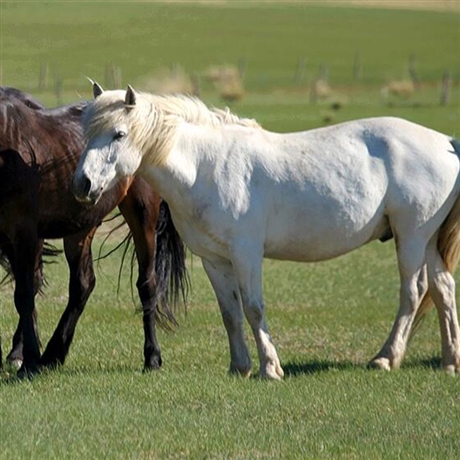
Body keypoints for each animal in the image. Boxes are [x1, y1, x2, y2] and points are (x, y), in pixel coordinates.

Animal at [0, 87, 188, 378]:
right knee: (83, 285)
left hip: (142, 215)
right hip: (80, 227)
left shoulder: (24, 233)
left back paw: (152, 357)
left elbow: (24, 294)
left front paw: (28, 362)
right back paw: (53, 354)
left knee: (147, 284)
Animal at [72, 84, 460, 380]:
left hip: (411, 236)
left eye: (119, 134)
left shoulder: (246, 253)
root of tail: (445, 141)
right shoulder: (215, 260)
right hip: (426, 239)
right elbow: (230, 312)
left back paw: (385, 358)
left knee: (414, 291)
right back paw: (449, 361)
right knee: (442, 288)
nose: (82, 183)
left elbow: (253, 307)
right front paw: (239, 367)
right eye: (86, 133)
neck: (205, 166)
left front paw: (270, 368)